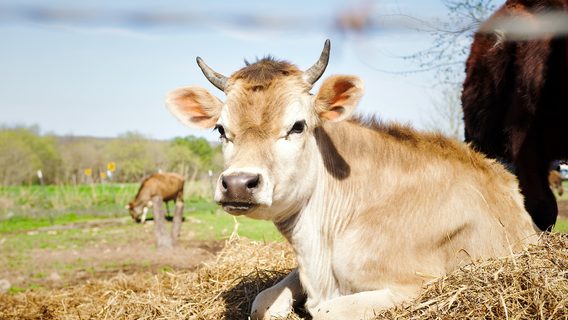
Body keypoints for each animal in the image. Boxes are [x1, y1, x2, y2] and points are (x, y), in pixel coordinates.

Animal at [164, 40, 536, 320]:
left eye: (297, 125)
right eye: (220, 129)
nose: (239, 183)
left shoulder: (414, 284)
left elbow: (327, 312)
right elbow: (261, 303)